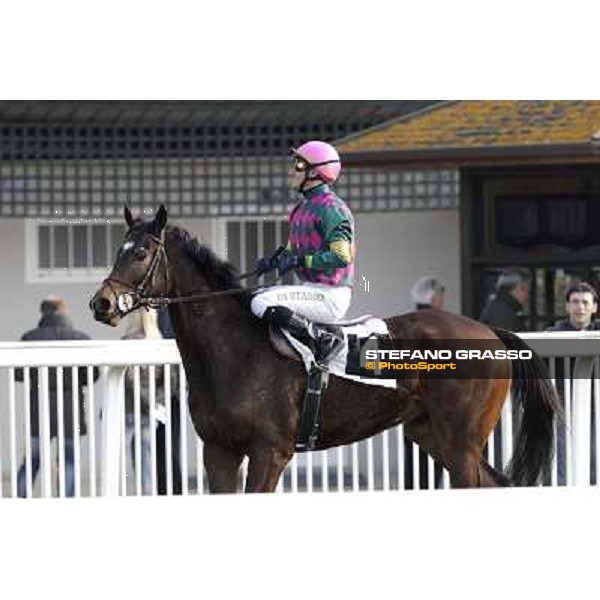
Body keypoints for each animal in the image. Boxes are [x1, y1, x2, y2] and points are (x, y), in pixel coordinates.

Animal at [90, 206, 564, 492]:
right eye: (117, 251)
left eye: (142, 253)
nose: (102, 303)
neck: (232, 353)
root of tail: (490, 331)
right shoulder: (218, 451)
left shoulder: (270, 451)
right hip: (430, 433)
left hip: (460, 441)